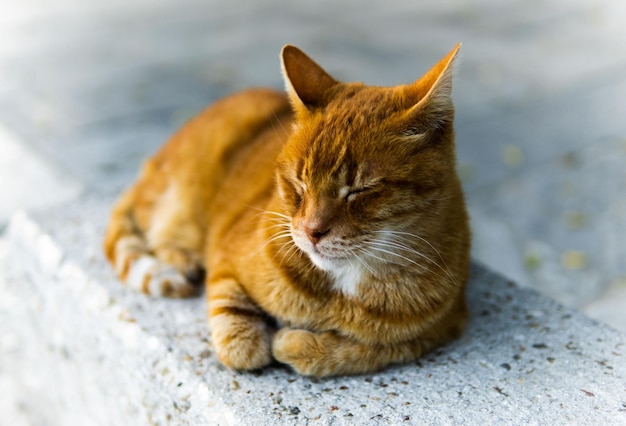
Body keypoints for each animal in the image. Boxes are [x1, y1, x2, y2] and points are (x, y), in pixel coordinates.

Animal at [103, 44, 468, 376]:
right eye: (298, 183)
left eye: (360, 190)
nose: (312, 231)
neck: (342, 288)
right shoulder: (225, 256)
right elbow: (238, 340)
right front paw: (260, 341)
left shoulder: (439, 329)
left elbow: (364, 350)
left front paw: (297, 344)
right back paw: (182, 260)